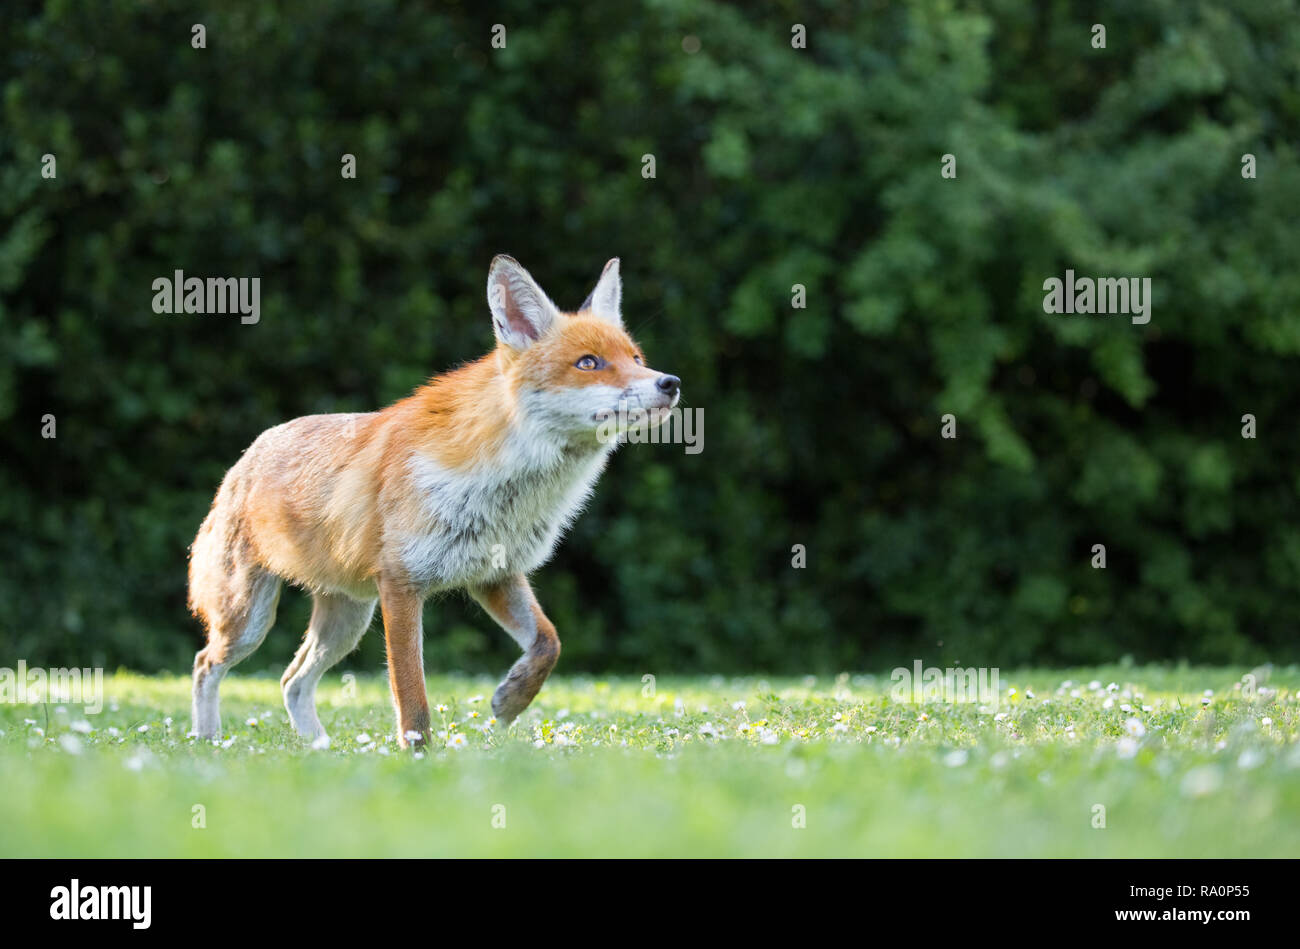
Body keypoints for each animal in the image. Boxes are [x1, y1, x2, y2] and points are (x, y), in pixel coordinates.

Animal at [188, 256, 680, 747]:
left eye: (636, 359)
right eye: (589, 363)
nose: (670, 382)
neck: (510, 487)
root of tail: (246, 457)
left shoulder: (496, 573)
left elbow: (549, 643)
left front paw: (511, 700)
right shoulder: (401, 585)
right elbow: (412, 697)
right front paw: (420, 757)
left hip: (347, 622)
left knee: (292, 681)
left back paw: (318, 746)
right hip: (249, 620)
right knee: (205, 664)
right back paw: (207, 740)